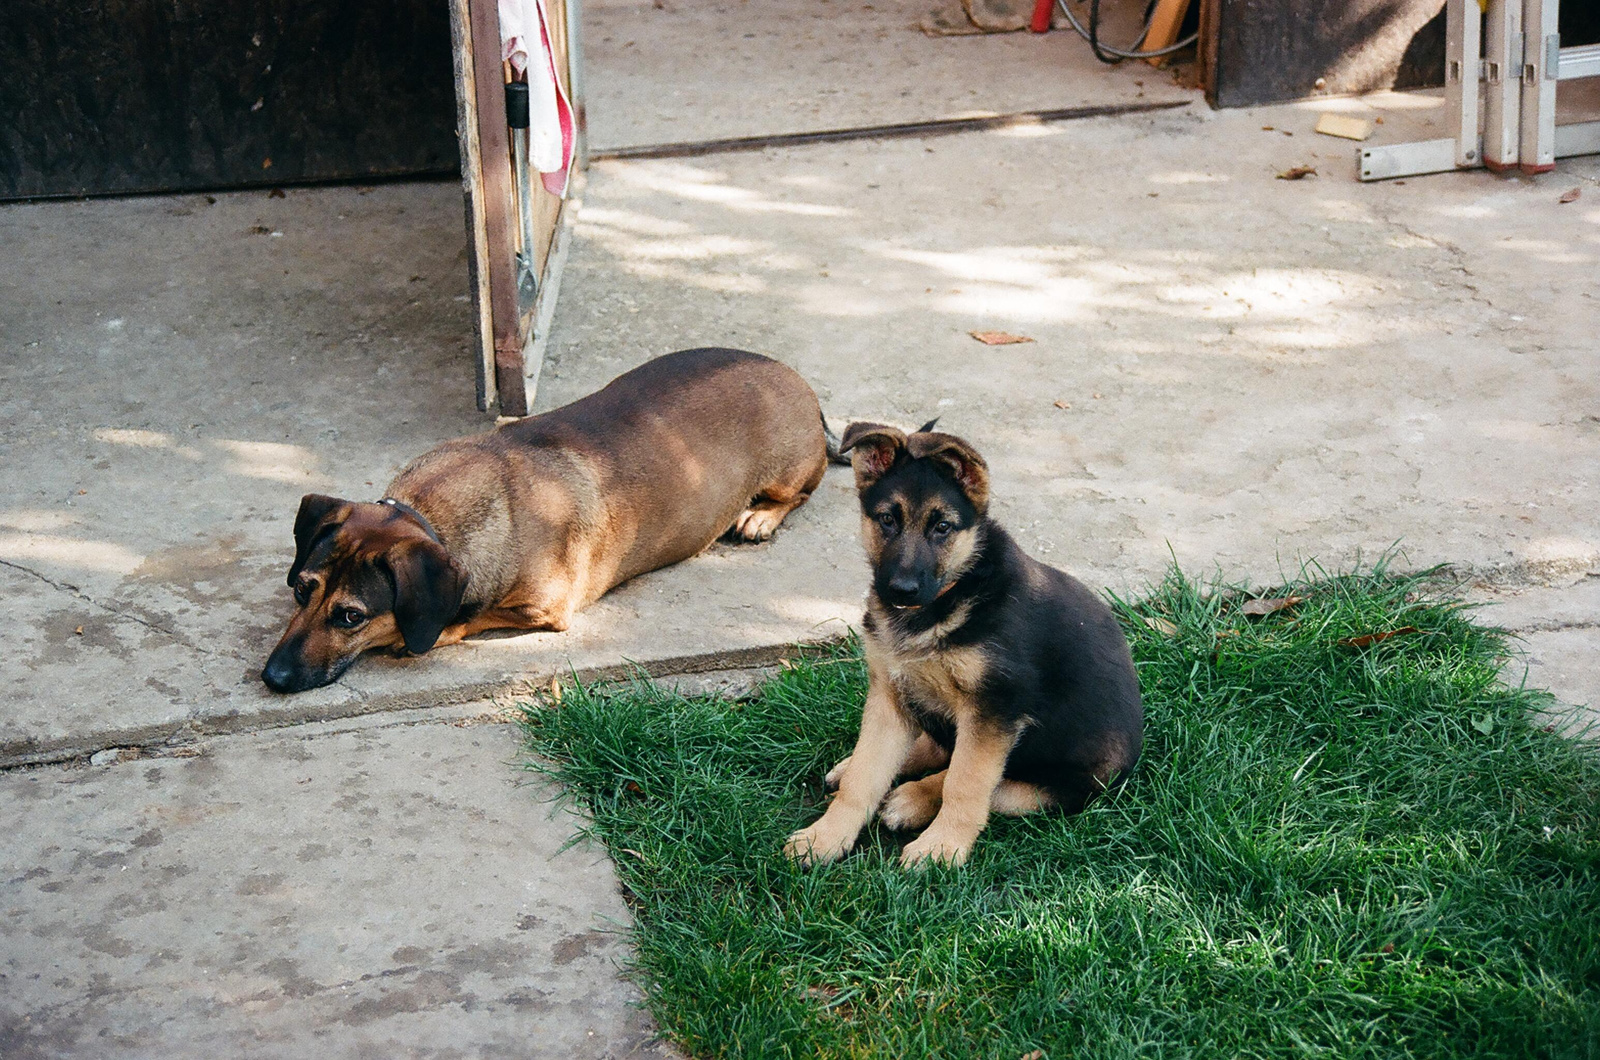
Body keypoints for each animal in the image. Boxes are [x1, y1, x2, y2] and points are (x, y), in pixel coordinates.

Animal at [260, 350, 825, 698]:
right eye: (302, 590)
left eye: (350, 616)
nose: (271, 677)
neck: (437, 516)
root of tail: (797, 380)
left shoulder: (545, 609)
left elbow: (470, 618)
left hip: (787, 472)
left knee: (799, 493)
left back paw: (760, 516)